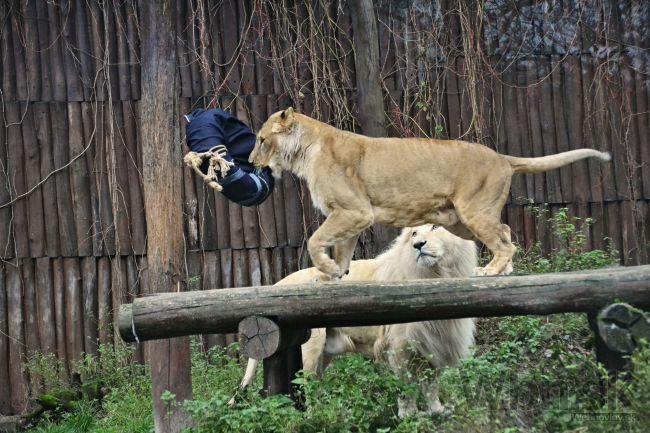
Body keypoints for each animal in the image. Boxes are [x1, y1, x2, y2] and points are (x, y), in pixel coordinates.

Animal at [234, 223, 476, 416]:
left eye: (435, 227)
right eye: (414, 233)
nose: (418, 244)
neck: (436, 275)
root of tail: (276, 285)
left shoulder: (435, 341)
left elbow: (432, 384)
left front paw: (438, 411)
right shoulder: (399, 347)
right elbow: (405, 386)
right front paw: (409, 416)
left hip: (322, 354)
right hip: (310, 347)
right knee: (304, 385)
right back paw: (314, 417)